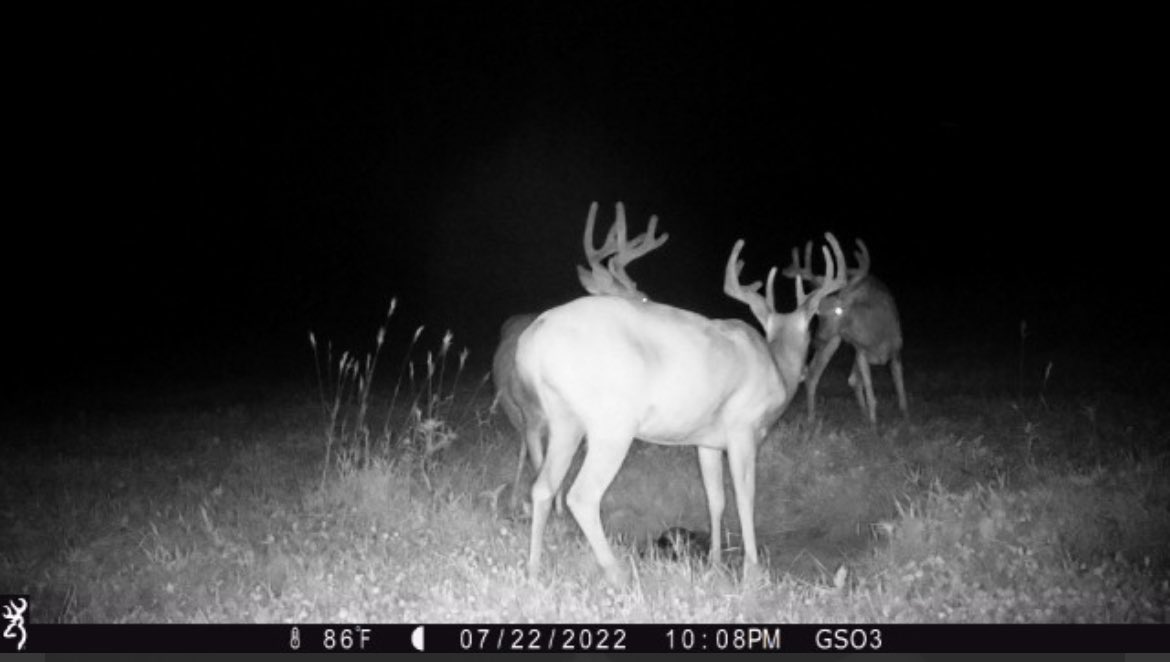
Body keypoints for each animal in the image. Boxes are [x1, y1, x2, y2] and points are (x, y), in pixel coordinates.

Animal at [491, 202, 669, 513]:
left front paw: (561, 511)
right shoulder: (534, 420)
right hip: (515, 413)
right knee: (523, 452)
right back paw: (514, 499)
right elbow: (542, 470)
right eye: (644, 297)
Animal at [515, 232, 848, 586]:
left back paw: (533, 571)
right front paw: (752, 571)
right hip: (612, 423)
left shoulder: (706, 441)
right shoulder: (743, 428)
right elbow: (745, 498)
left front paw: (715, 563)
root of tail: (532, 339)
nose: (805, 370)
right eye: (810, 329)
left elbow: (715, 499)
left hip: (564, 419)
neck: (776, 367)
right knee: (582, 494)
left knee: (542, 488)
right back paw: (619, 574)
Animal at [783, 237, 907, 425]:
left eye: (839, 311)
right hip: (833, 340)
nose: (815, 340)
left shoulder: (897, 350)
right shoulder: (861, 351)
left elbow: (900, 390)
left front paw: (906, 417)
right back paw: (811, 418)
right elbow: (868, 390)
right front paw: (873, 425)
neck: (875, 335)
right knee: (813, 375)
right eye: (817, 314)